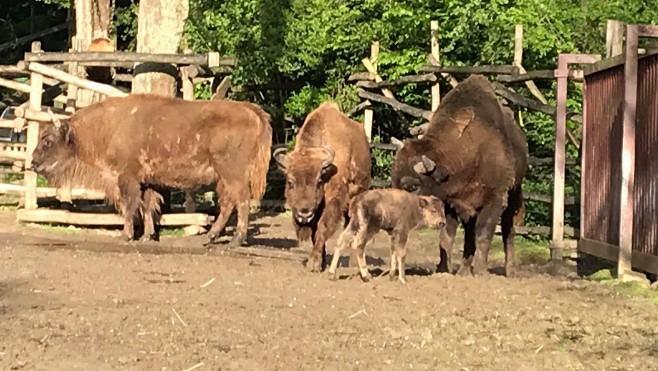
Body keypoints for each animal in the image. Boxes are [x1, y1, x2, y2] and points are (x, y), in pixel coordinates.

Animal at [30, 93, 272, 246]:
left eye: (48, 140)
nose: (33, 162)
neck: (111, 127)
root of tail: (251, 111)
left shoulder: (126, 179)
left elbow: (129, 206)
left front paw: (126, 236)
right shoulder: (146, 182)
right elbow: (147, 206)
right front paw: (147, 236)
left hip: (232, 173)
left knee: (241, 200)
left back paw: (236, 240)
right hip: (224, 177)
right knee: (229, 203)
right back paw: (209, 238)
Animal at [272, 103, 372, 272]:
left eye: (318, 181)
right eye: (290, 182)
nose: (304, 213)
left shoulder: (333, 200)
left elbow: (322, 227)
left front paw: (313, 263)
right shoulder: (317, 207)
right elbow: (314, 231)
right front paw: (321, 261)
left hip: (358, 194)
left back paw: (353, 264)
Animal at [390, 75, 528, 278]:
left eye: (413, 186)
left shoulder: (494, 199)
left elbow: (484, 234)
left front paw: (481, 271)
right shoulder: (451, 203)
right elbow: (447, 237)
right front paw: (442, 269)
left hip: (513, 196)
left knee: (507, 231)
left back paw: (510, 271)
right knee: (469, 237)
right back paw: (463, 271)